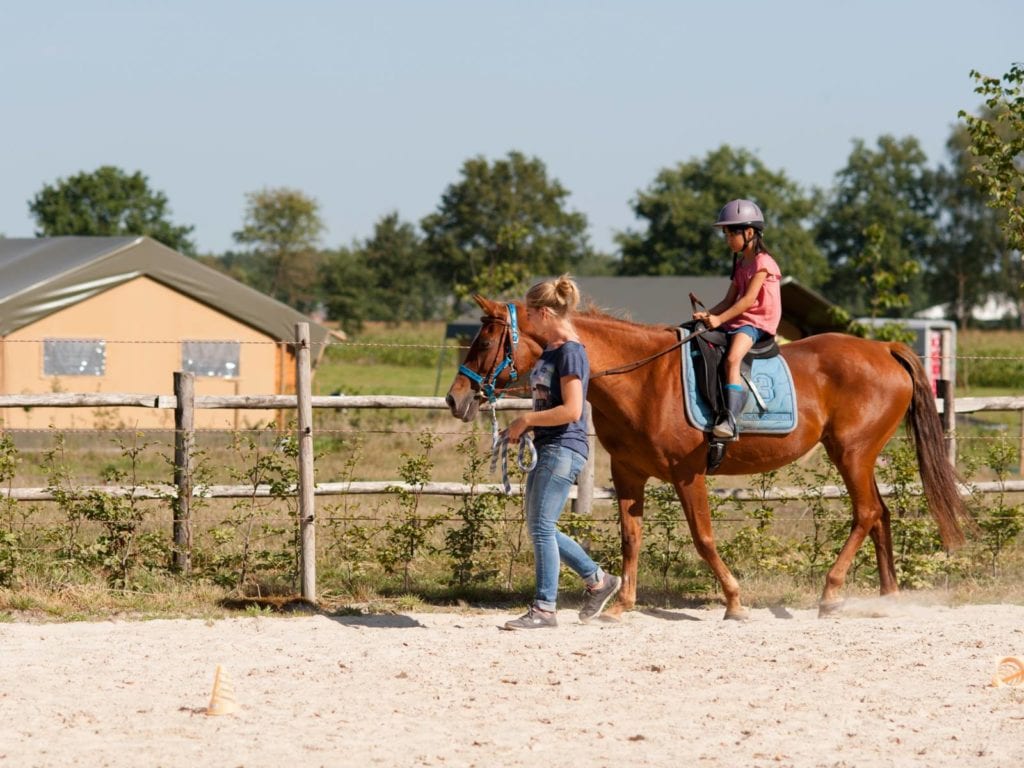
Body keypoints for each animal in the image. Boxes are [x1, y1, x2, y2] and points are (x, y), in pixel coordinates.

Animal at [444, 294, 970, 618]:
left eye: (485, 341)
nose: (455, 398)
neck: (643, 378)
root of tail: (884, 348)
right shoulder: (630, 474)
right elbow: (631, 538)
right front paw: (621, 604)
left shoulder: (688, 474)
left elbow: (703, 538)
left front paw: (734, 601)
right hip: (858, 457)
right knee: (880, 514)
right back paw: (888, 595)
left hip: (851, 454)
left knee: (865, 513)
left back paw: (830, 591)